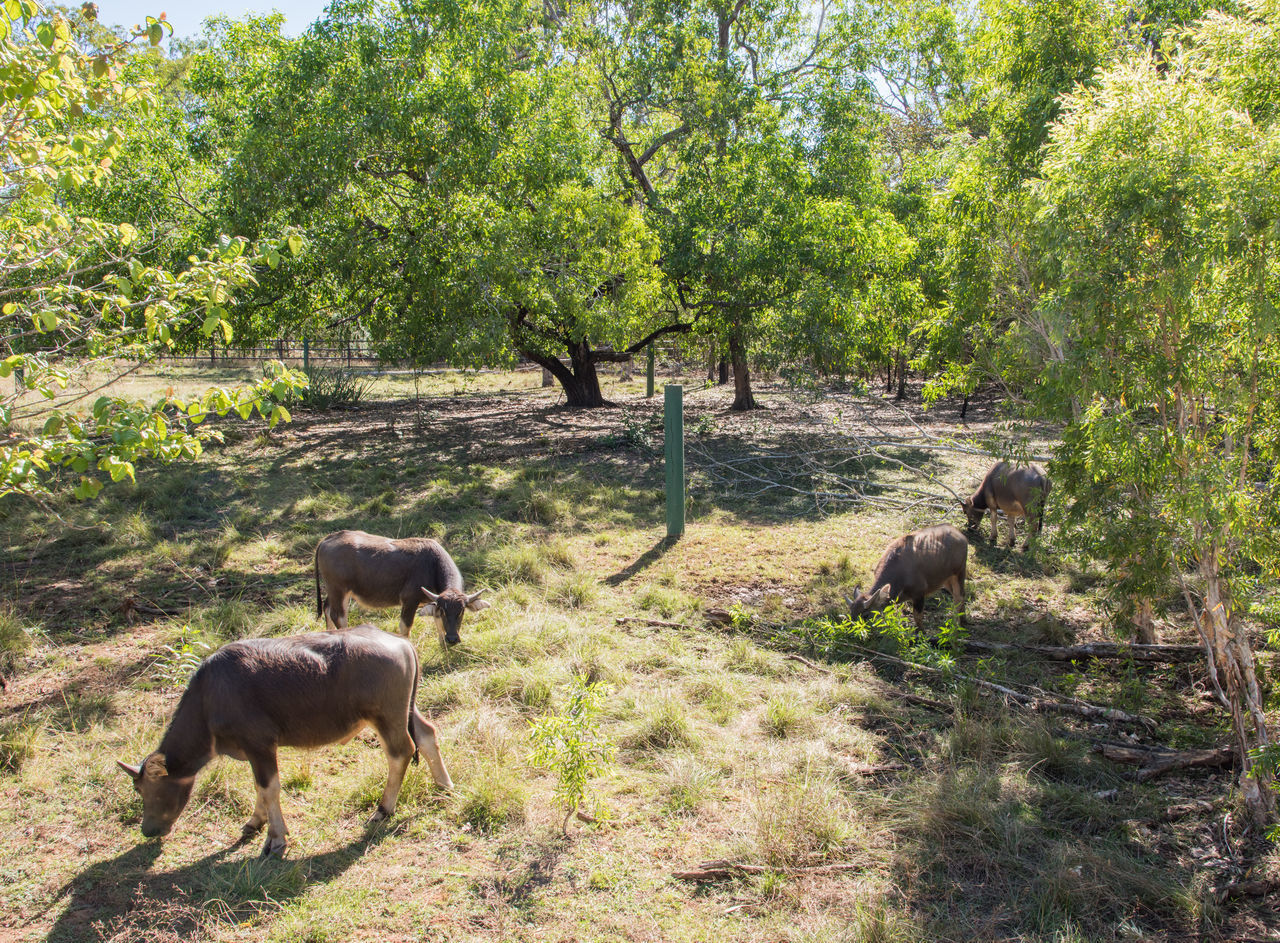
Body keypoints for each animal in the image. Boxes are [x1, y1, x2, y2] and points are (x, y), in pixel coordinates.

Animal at [116, 621, 455, 854]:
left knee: (401, 751)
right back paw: (444, 785)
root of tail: (400, 642)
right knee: (426, 733)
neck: (210, 699)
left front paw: (275, 838)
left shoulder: (261, 745)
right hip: (405, 709)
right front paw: (255, 822)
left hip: (386, 716)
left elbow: (269, 788)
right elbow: (259, 788)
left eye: (148, 791)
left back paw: (383, 809)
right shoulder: (255, 752)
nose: (148, 830)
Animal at [312, 527, 486, 644]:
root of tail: (327, 539)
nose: (452, 639)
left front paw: (443, 644)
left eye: (461, 611)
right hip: (339, 590)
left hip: (336, 591)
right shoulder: (409, 601)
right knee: (338, 616)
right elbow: (405, 627)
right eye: (445, 610)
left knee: (327, 609)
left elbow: (437, 621)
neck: (432, 565)